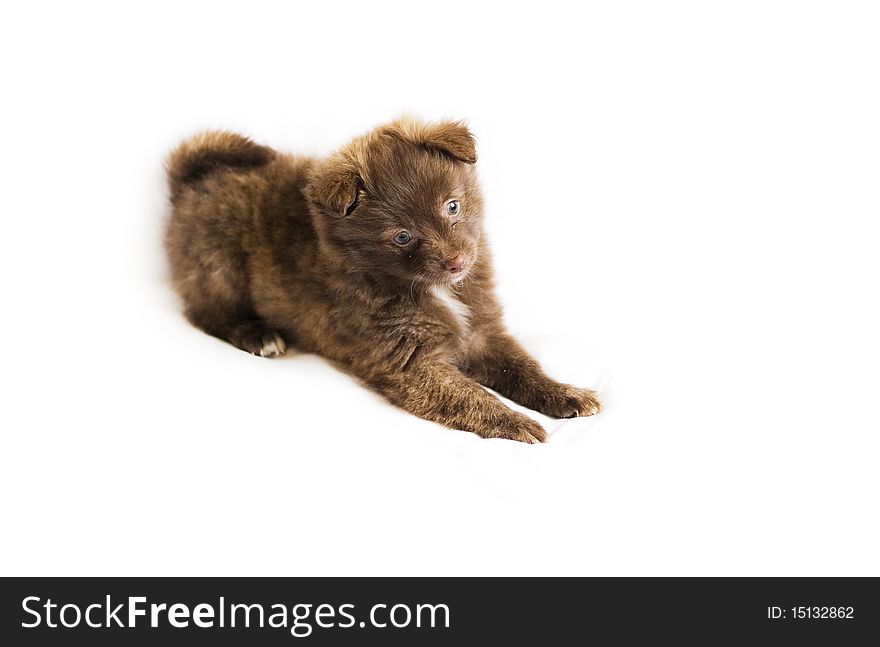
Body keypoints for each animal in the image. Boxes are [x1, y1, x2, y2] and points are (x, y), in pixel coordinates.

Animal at [165, 119, 600, 442]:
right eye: (402, 237)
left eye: (452, 206)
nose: (458, 261)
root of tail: (193, 181)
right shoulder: (409, 359)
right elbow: (468, 394)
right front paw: (515, 422)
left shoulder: (480, 329)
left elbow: (523, 367)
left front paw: (565, 393)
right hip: (219, 266)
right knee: (207, 312)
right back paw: (258, 335)